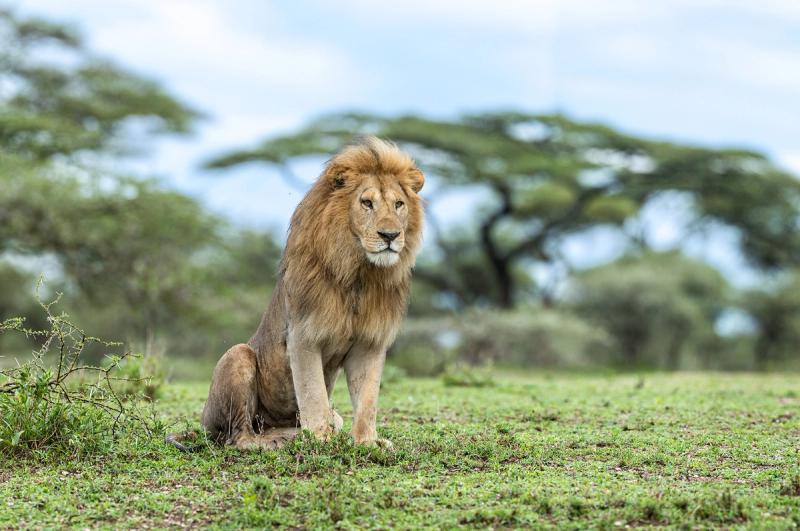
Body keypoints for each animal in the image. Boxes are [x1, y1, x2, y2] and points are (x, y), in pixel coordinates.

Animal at [168, 137, 424, 451]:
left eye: (399, 204)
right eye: (367, 203)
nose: (390, 236)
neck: (359, 274)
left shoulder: (370, 343)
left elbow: (367, 400)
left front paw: (366, 442)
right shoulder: (303, 335)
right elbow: (313, 393)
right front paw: (320, 439)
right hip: (237, 355)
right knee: (239, 437)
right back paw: (279, 440)